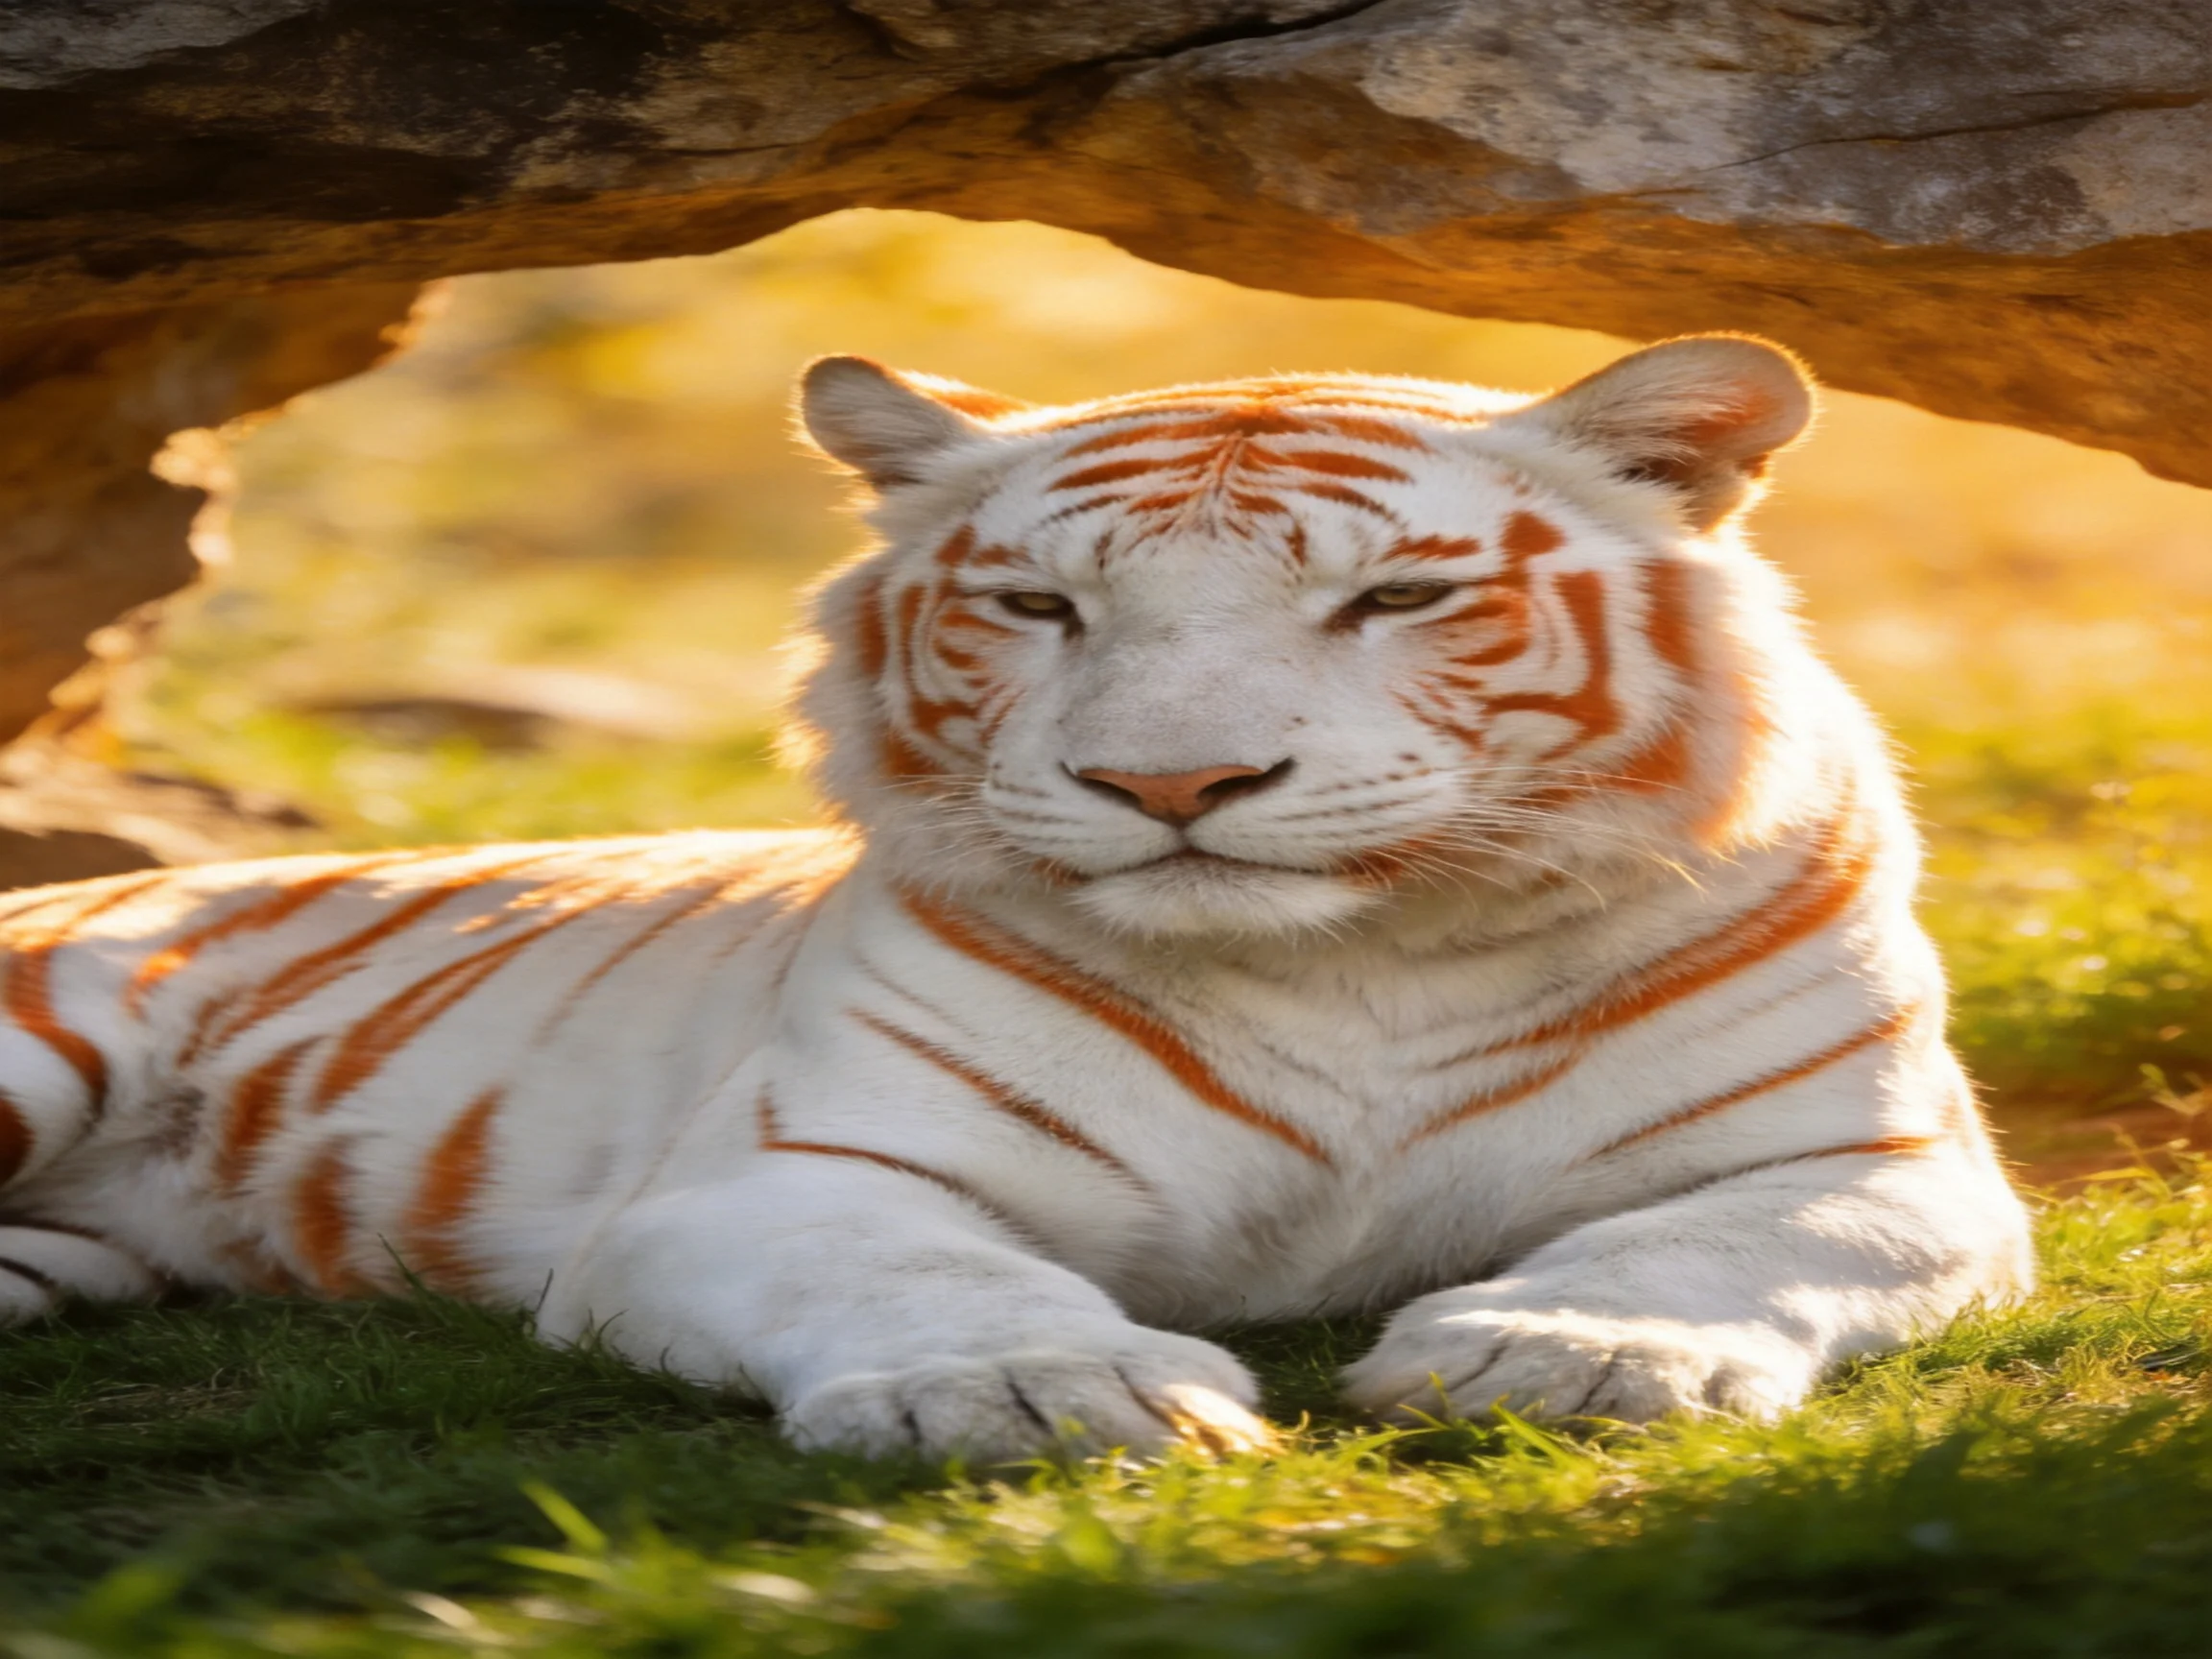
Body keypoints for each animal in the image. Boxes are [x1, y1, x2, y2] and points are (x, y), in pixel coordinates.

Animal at [0, 336, 2033, 1460]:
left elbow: (1708, 1245)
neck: (1356, 964)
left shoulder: (1868, 1160)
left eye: (1393, 598)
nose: (1171, 785)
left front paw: (1565, 1347)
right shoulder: (785, 1178)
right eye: (1039, 606)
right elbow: (926, 1272)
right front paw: (1040, 1392)